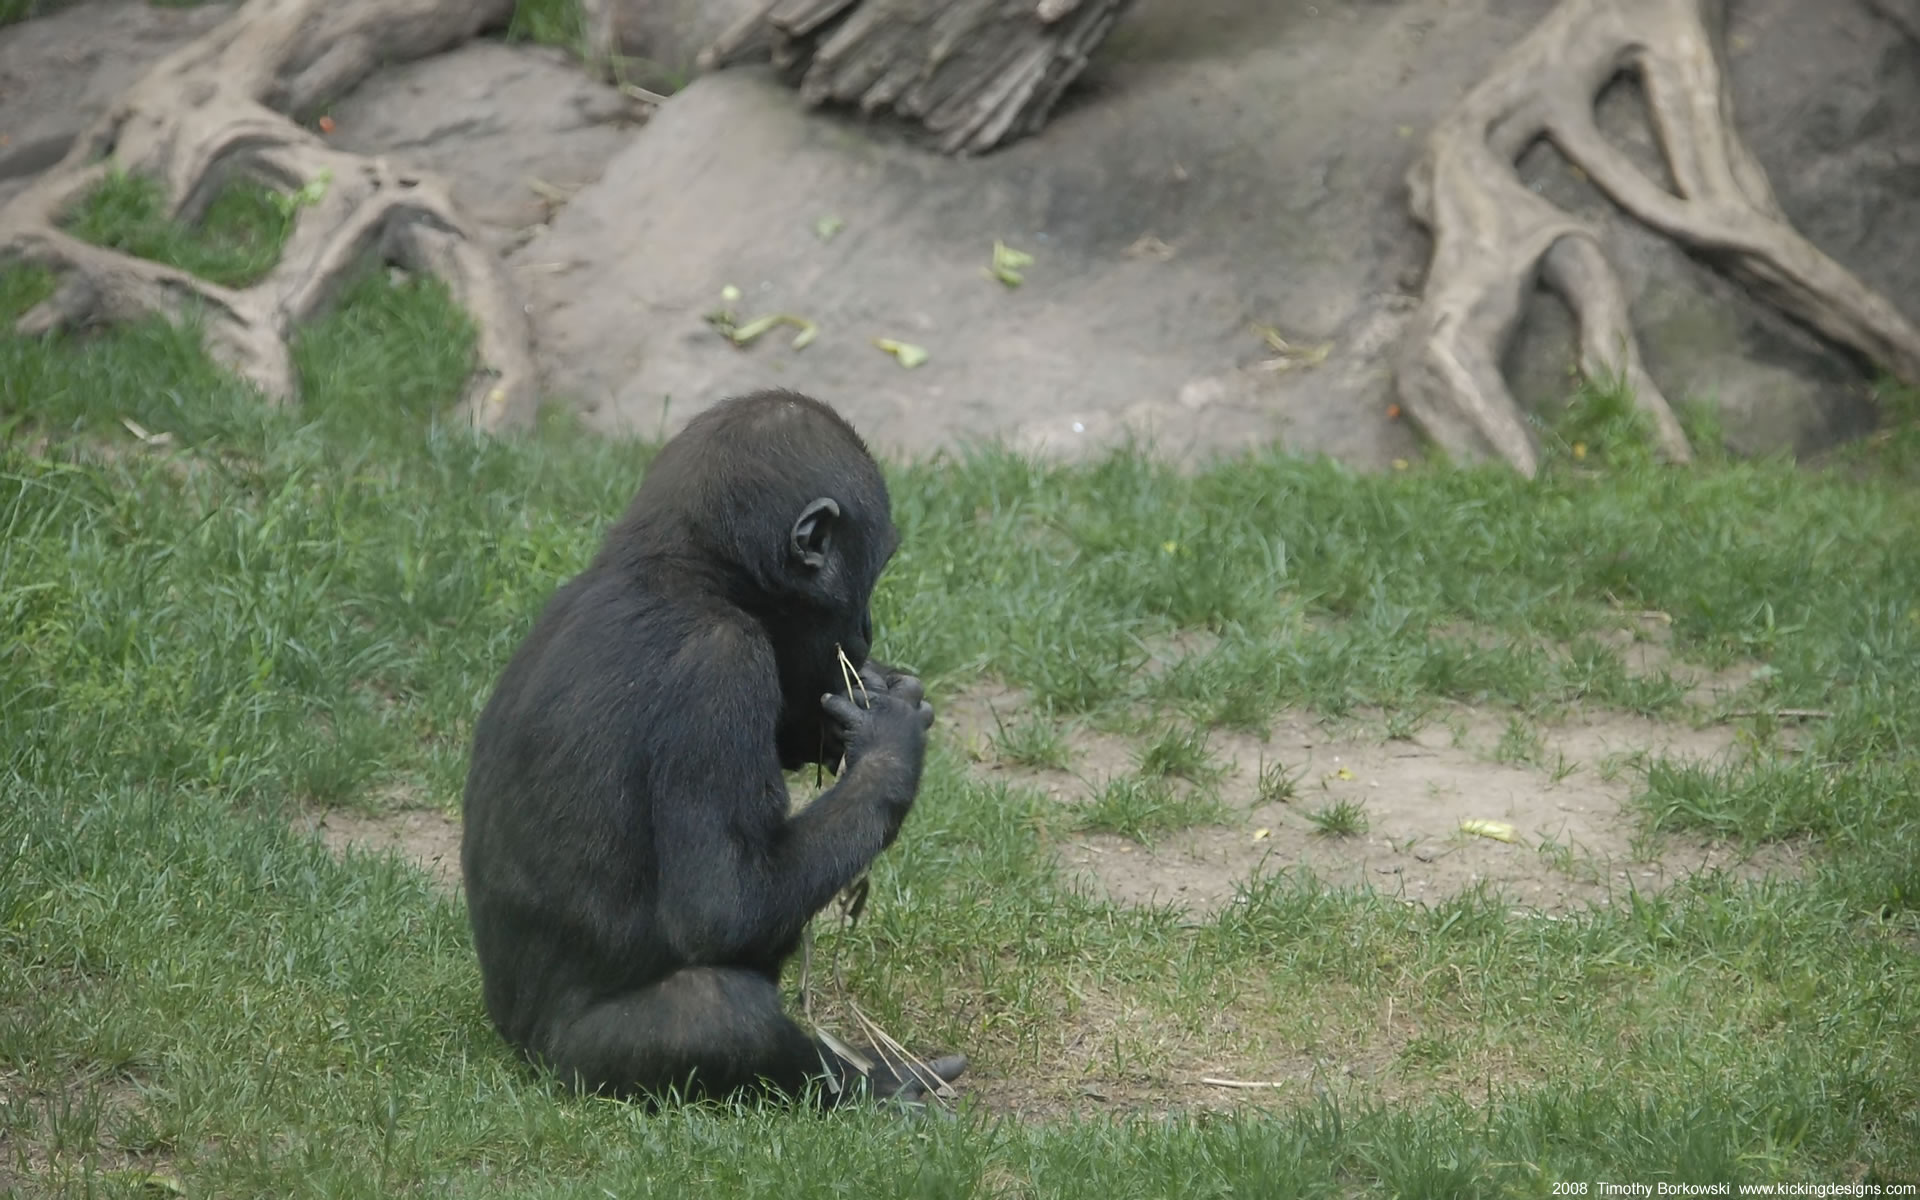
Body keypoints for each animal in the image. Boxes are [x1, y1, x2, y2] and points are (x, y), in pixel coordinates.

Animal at [459, 388, 964, 1106]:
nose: (866, 630)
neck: (680, 569)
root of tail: (515, 1051)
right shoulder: (723, 667)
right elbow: (721, 905)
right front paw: (889, 743)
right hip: (578, 1068)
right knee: (717, 1013)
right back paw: (872, 1089)